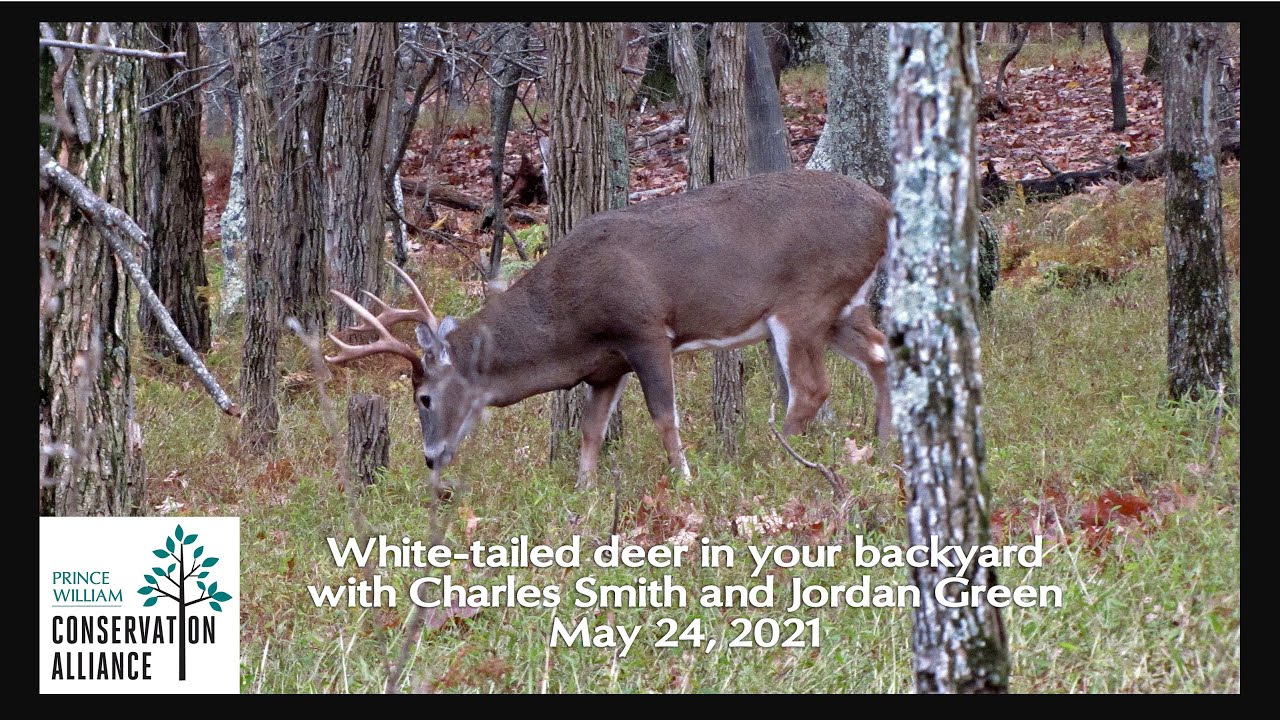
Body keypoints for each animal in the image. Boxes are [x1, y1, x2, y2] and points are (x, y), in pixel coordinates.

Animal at [325, 170, 892, 489]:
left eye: (422, 397)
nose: (430, 458)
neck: (569, 320)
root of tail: (886, 209)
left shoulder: (645, 329)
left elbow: (664, 416)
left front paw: (684, 480)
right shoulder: (605, 367)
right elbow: (591, 429)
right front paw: (585, 491)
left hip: (804, 301)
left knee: (813, 388)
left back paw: (773, 458)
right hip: (842, 305)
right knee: (881, 351)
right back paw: (882, 442)